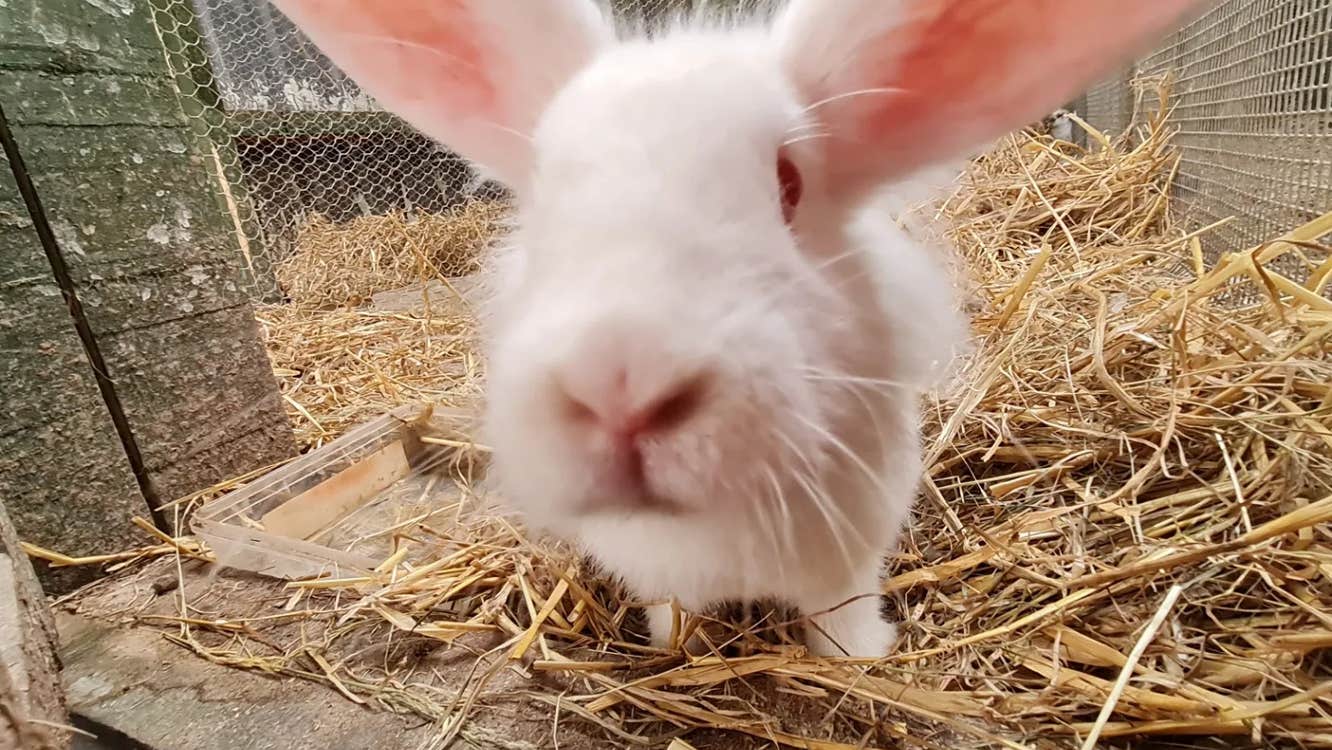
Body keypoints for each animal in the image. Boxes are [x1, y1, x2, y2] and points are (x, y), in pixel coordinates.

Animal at [271, 0, 1206, 657]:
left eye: (789, 184)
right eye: (542, 192)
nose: (621, 380)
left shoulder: (851, 551)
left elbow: (841, 619)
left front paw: (863, 661)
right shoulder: (654, 570)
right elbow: (673, 617)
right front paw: (671, 651)